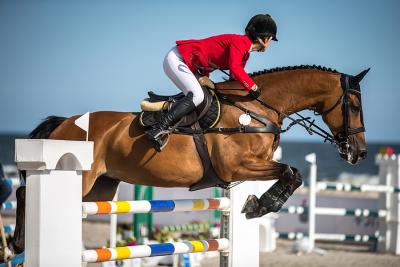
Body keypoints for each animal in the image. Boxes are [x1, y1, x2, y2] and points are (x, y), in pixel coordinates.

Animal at [11, 65, 368, 253]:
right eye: (353, 106)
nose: (360, 153)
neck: (256, 108)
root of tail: (65, 122)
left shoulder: (249, 167)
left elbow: (291, 173)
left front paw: (256, 204)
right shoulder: (237, 165)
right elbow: (293, 172)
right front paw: (260, 205)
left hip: (101, 186)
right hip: (78, 175)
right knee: (24, 191)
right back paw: (19, 243)